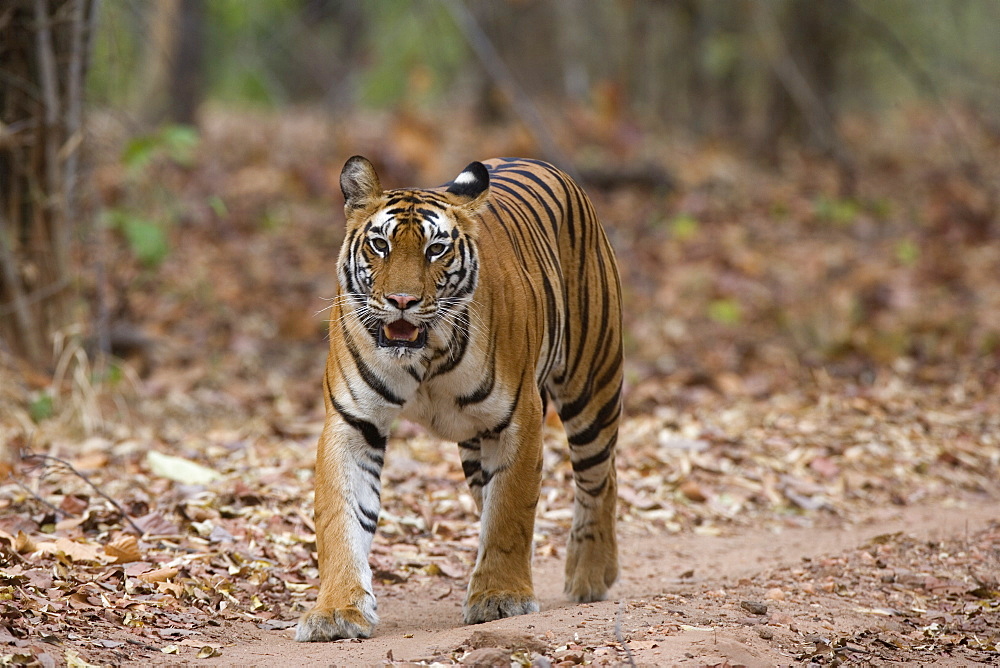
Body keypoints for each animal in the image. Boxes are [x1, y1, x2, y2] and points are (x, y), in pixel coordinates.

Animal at [296, 155, 620, 640]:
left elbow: (510, 512)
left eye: (435, 249)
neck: (423, 357)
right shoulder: (352, 422)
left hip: (592, 384)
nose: (402, 300)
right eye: (379, 245)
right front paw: (336, 611)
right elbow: (341, 519)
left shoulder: (519, 419)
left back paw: (592, 575)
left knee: (601, 477)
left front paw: (501, 597)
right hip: (474, 443)